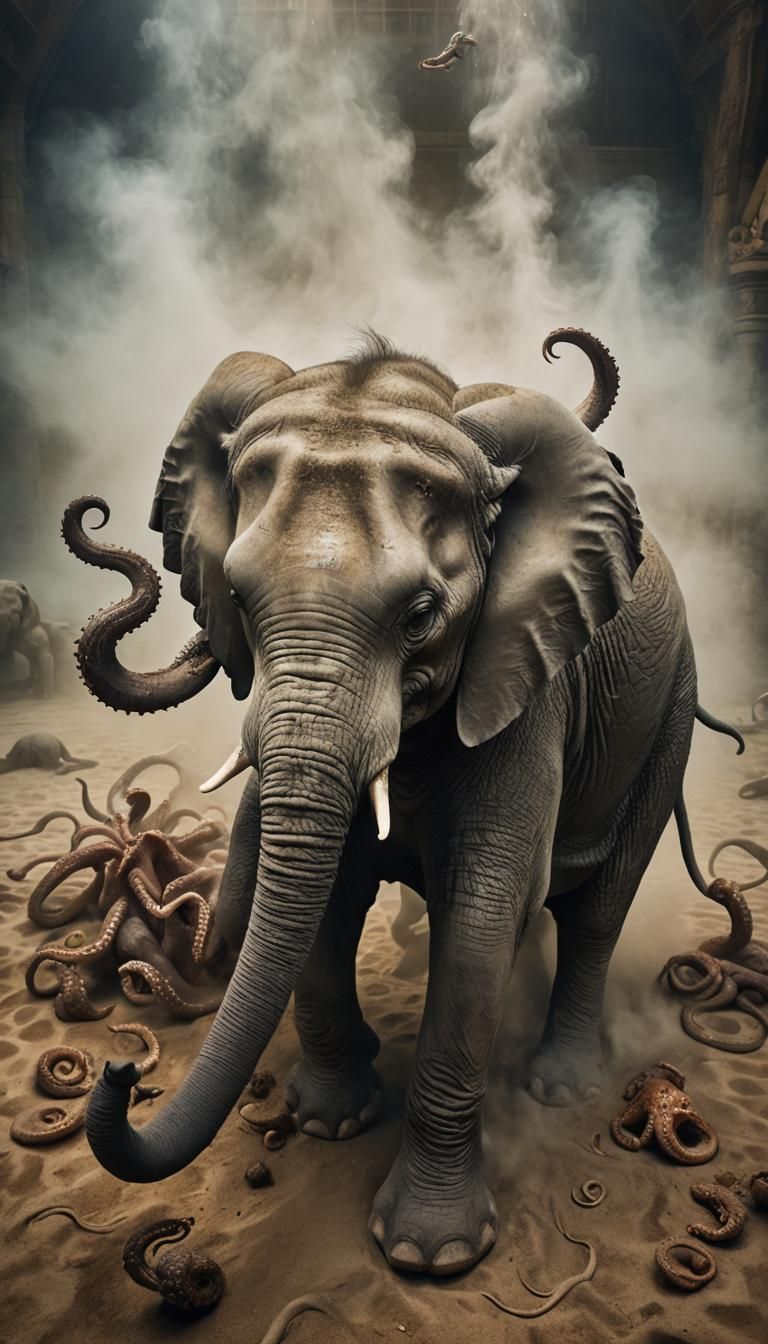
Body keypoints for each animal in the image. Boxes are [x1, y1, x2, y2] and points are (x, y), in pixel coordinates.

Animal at [63, 327, 741, 1278]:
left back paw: (559, 1085)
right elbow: (330, 895)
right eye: (236, 597)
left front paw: (431, 1255)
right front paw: (330, 1121)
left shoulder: (526, 676)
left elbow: (485, 913)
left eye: (421, 614)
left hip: (668, 710)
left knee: (600, 910)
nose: (121, 1075)